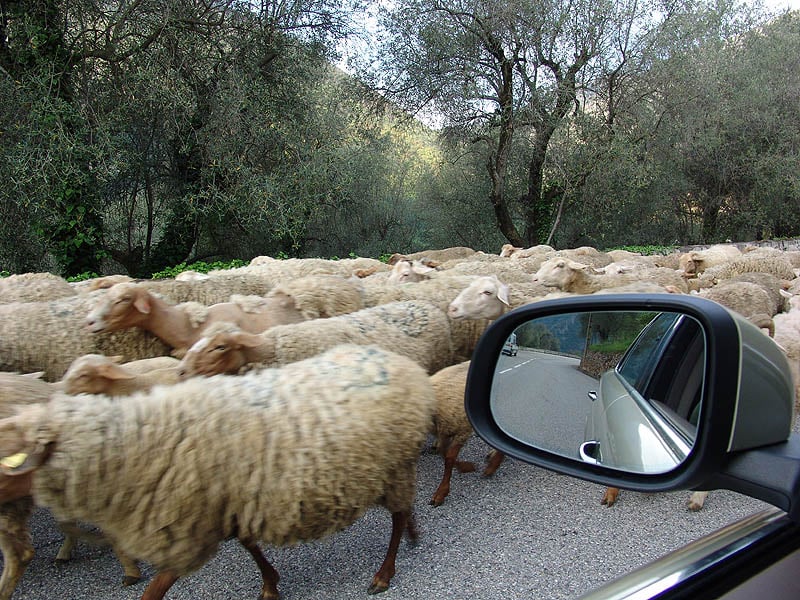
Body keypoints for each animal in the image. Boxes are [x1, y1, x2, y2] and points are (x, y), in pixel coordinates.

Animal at [0, 344, 438, 596]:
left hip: (394, 465)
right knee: (403, 511)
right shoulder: (231, 502)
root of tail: (403, 363)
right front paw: (270, 585)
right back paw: (415, 535)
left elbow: (154, 590)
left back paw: (385, 573)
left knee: (398, 516)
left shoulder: (186, 530)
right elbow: (249, 545)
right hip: (391, 469)